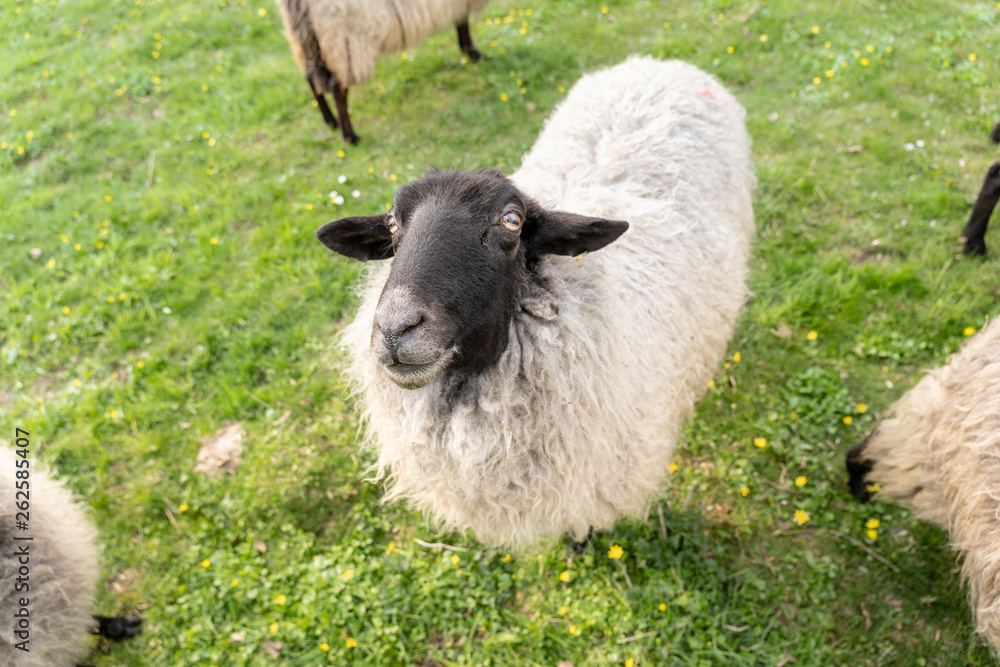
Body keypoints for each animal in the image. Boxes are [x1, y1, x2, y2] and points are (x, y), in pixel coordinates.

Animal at [276, 0, 490, 145]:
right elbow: (463, 21)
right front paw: (473, 53)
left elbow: (461, 20)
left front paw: (469, 50)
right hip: (344, 37)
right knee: (336, 85)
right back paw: (350, 136)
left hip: (307, 39)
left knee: (311, 77)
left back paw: (330, 121)